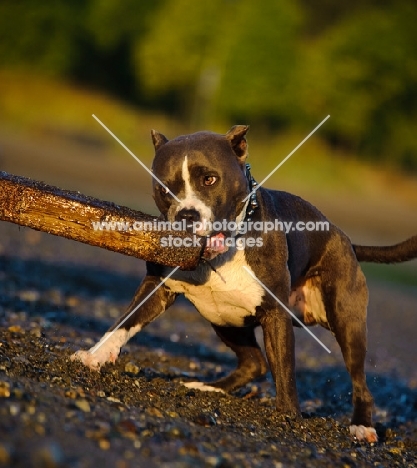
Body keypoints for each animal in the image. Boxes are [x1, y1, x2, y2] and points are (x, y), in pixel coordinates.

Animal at [70, 125, 414, 442]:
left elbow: (284, 369)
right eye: (166, 189)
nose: (187, 215)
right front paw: (95, 355)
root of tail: (346, 241)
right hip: (224, 318)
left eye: (209, 180)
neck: (220, 252)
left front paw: (288, 415)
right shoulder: (157, 287)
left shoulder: (275, 315)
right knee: (254, 363)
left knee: (359, 380)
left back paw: (362, 426)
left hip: (347, 322)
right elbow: (125, 321)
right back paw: (208, 387)